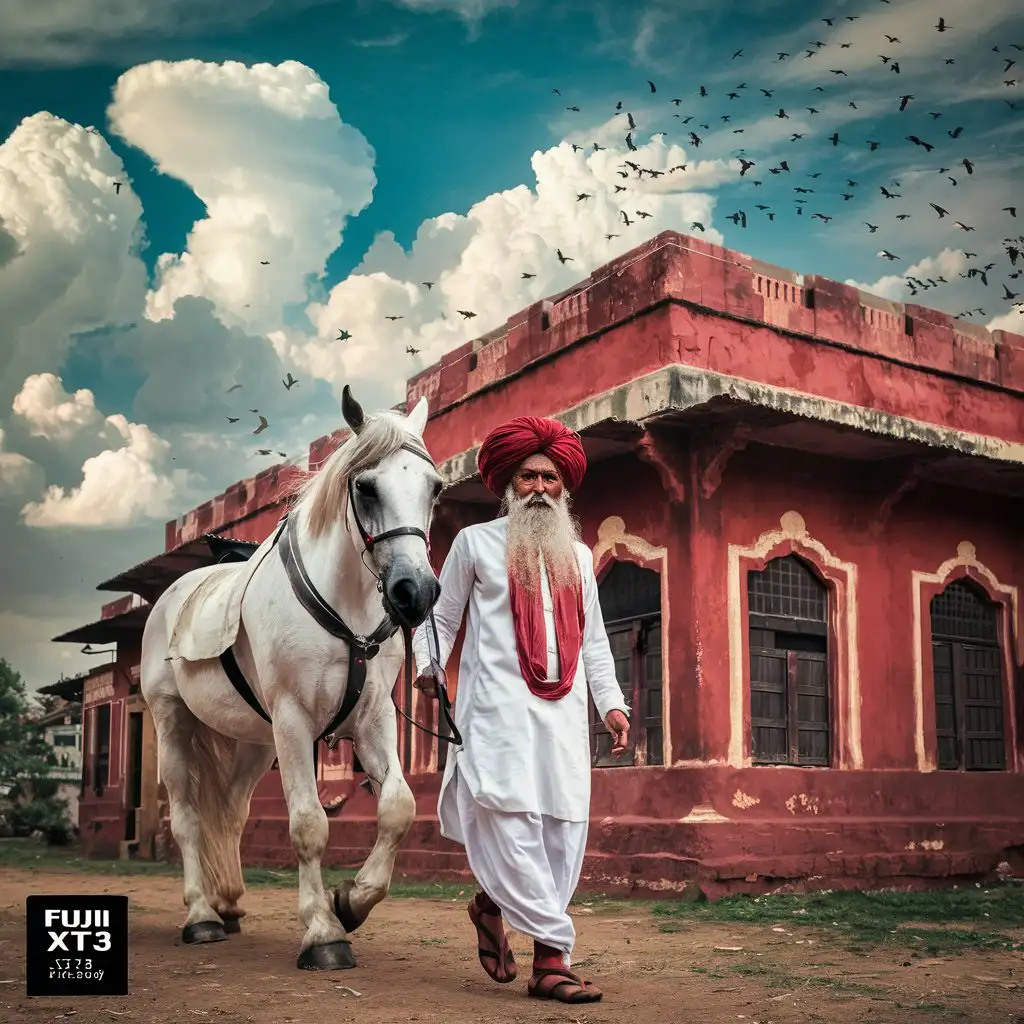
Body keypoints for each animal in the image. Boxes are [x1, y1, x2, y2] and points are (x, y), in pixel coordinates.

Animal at [138, 385, 442, 966]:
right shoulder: (294, 720)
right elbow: (307, 824)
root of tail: (173, 594)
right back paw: (201, 915)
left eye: (434, 488)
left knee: (230, 811)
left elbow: (398, 807)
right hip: (174, 723)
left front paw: (351, 901)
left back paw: (229, 903)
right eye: (365, 487)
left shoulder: (372, 718)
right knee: (187, 818)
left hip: (254, 740)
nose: (415, 590)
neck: (346, 610)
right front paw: (323, 931)